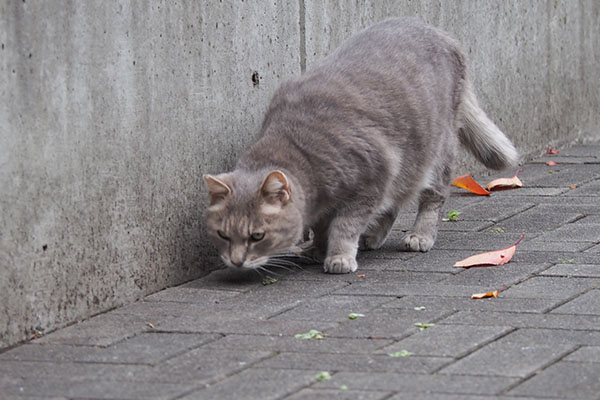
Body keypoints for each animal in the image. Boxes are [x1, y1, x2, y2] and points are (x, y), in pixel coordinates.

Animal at [204, 18, 516, 276]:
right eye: (222, 235)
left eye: (257, 236)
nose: (236, 261)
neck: (298, 147)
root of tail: (445, 36)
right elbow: (321, 225)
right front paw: (319, 248)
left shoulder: (371, 180)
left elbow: (344, 224)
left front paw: (338, 256)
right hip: (406, 165)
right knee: (392, 204)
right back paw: (372, 237)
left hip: (435, 153)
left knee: (431, 199)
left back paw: (419, 236)